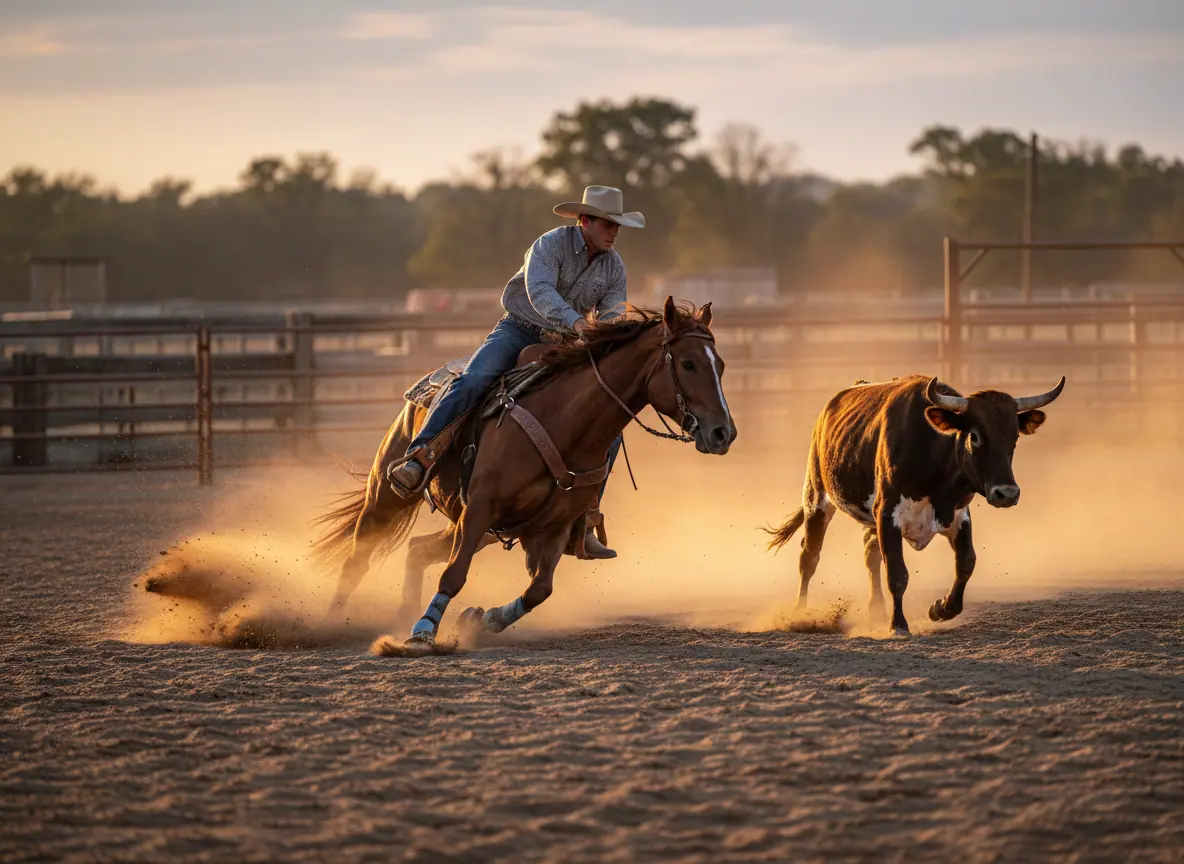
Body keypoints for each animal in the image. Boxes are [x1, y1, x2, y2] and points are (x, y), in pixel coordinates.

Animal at [311, 297, 737, 651]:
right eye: (688, 363)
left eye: (721, 364)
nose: (724, 433)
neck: (564, 422)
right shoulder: (481, 507)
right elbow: (454, 575)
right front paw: (423, 633)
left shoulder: (553, 528)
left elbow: (539, 590)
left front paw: (482, 619)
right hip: (388, 493)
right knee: (358, 558)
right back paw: (333, 622)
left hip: (472, 525)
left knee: (418, 550)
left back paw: (402, 614)